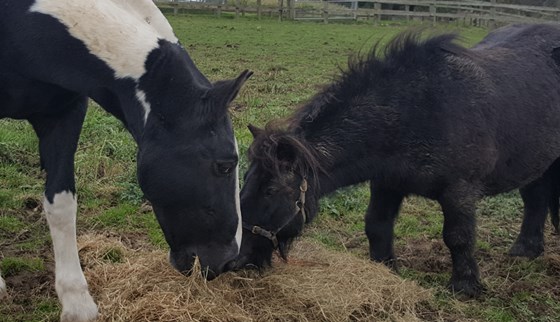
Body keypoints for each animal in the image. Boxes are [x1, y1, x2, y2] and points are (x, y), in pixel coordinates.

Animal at [237, 23, 560, 296]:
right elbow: (376, 226)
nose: (236, 259)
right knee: (535, 200)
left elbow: (458, 237)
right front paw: (386, 269)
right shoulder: (387, 183)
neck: (416, 112)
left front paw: (465, 287)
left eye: (270, 190)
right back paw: (525, 250)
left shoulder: (460, 192)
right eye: (245, 182)